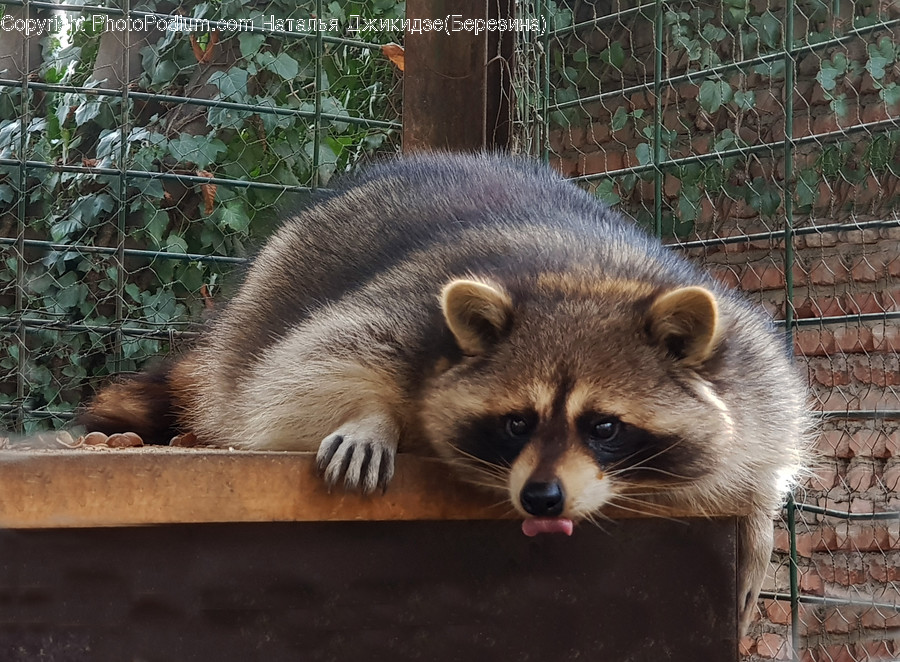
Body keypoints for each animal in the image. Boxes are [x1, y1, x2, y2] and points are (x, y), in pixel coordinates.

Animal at [80, 153, 808, 632]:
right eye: (517, 423)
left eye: (604, 427)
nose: (541, 497)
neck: (585, 275)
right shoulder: (411, 313)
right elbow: (307, 363)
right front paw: (372, 413)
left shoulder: (749, 358)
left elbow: (766, 440)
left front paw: (758, 517)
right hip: (272, 284)